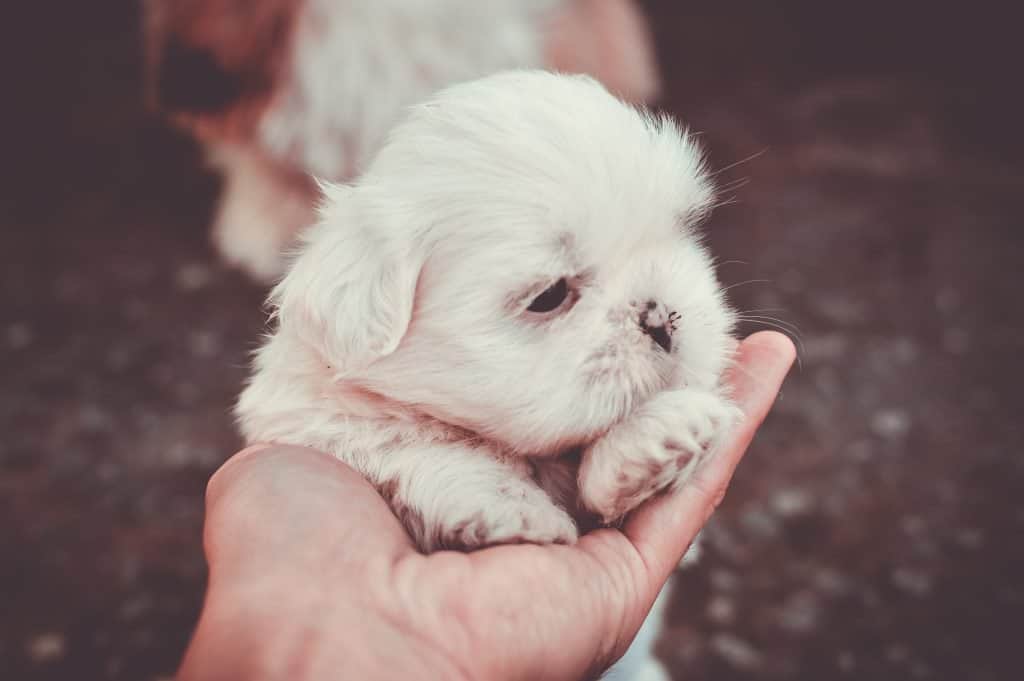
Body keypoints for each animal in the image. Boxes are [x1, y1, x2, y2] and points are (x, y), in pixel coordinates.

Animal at [237, 70, 737, 675]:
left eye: (682, 231)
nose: (661, 316)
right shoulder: (311, 421)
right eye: (549, 296)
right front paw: (505, 506)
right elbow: (414, 446)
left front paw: (655, 437)